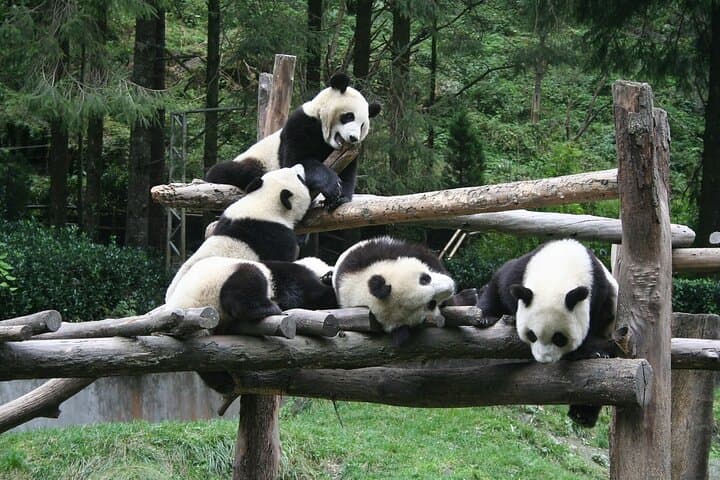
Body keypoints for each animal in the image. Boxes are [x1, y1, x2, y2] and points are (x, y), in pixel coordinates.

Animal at [166, 255, 337, 394]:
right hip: (217, 281)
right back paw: (269, 308)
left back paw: (223, 382)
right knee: (244, 286)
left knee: (206, 364)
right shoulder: (293, 278)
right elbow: (314, 296)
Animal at [206, 72, 381, 209]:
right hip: (257, 160)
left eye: (362, 125)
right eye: (349, 116)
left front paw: (340, 197)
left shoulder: (349, 152)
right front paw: (332, 185)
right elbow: (296, 161)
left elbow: (347, 172)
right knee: (226, 171)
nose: (353, 138)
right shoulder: (300, 124)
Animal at [477, 238, 619, 427]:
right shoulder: (520, 270)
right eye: (531, 335)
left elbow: (594, 329)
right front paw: (485, 317)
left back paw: (582, 415)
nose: (544, 360)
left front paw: (591, 351)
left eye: (559, 338)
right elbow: (499, 284)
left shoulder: (600, 296)